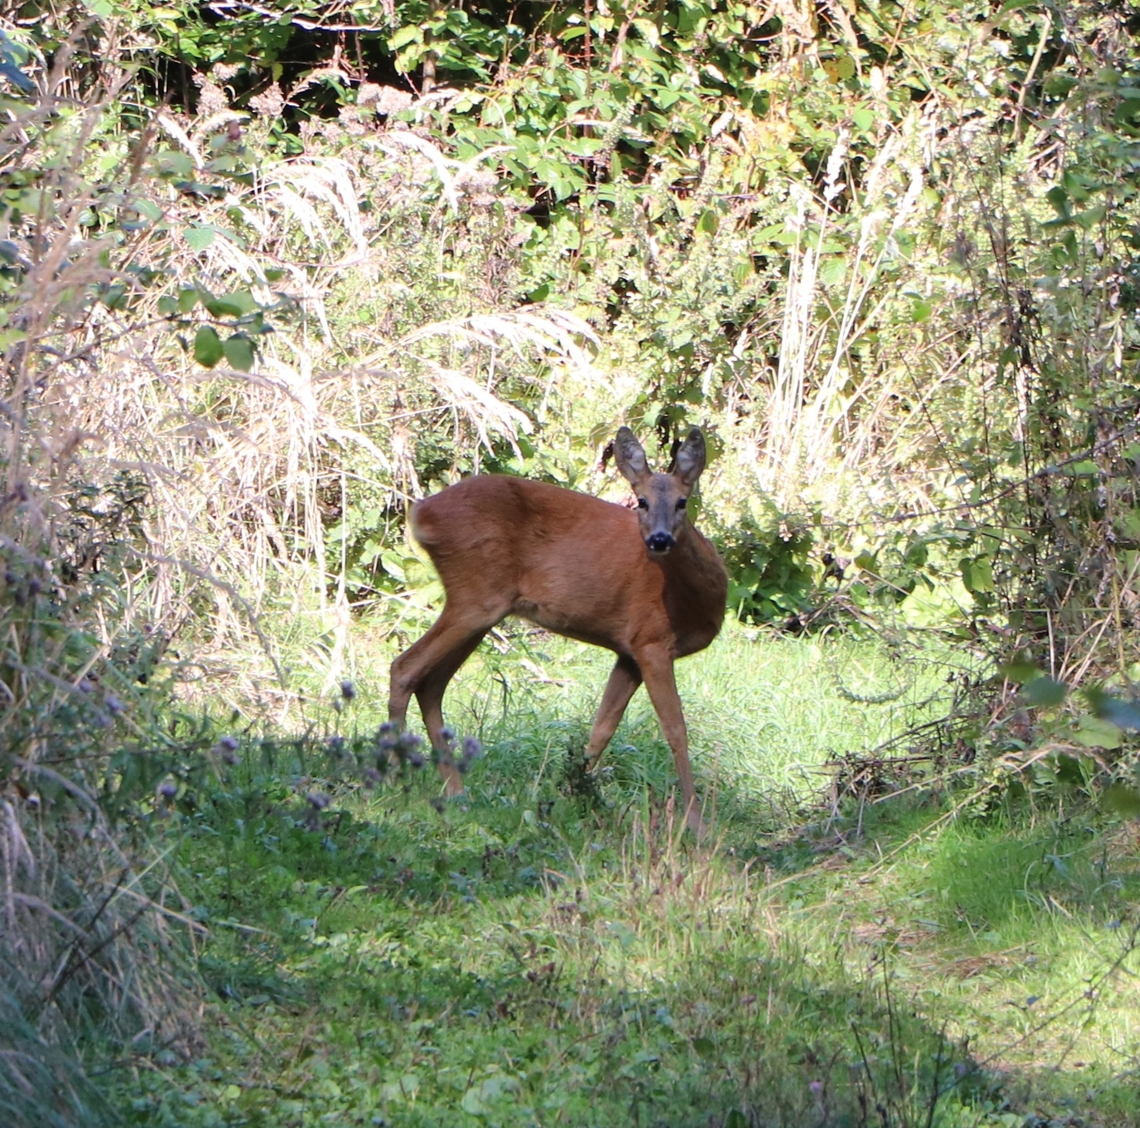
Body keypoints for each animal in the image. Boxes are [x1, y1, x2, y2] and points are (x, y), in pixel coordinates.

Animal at [387, 426, 728, 835]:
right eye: (641, 501)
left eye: (682, 502)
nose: (659, 539)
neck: (693, 601)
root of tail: (421, 512)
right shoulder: (652, 641)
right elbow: (676, 729)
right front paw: (697, 823)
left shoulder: (628, 651)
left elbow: (602, 728)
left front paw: (567, 795)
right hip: (476, 596)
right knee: (405, 667)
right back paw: (395, 780)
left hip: (479, 608)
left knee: (431, 683)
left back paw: (455, 791)